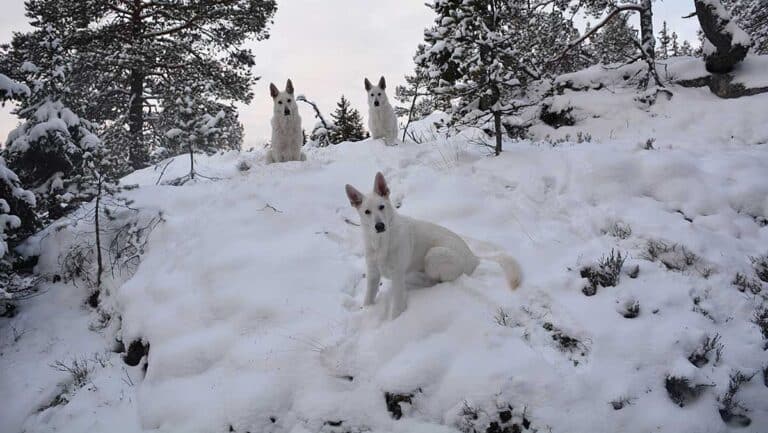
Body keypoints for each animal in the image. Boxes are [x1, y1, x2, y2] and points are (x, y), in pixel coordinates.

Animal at [346, 171, 520, 318]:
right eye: (367, 212)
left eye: (381, 207)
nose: (380, 226)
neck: (381, 242)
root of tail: (473, 257)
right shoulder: (373, 274)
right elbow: (368, 299)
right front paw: (366, 311)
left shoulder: (397, 276)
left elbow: (396, 308)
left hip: (433, 255)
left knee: (442, 280)